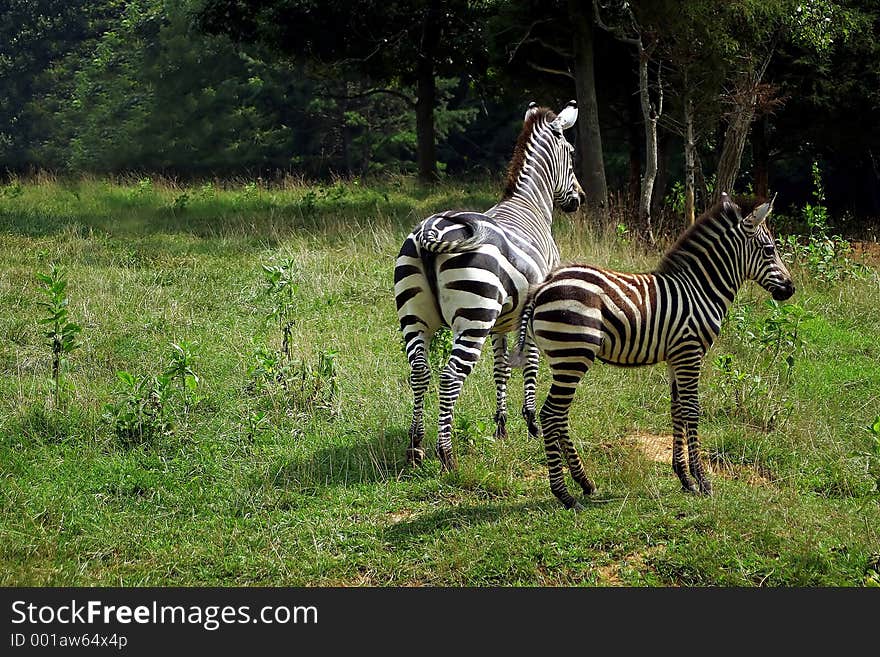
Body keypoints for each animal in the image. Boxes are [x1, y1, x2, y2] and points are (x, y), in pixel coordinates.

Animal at [392, 100, 584, 468]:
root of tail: (429, 233)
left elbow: (501, 368)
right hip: (473, 317)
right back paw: (446, 455)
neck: (530, 204)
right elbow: (531, 362)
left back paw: (415, 446)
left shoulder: (502, 321)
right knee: (450, 376)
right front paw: (531, 423)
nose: (579, 198)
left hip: (415, 316)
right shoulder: (532, 308)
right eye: (570, 152)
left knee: (420, 371)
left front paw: (502, 426)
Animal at [512, 192, 796, 510]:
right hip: (574, 355)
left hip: (563, 358)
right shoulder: (690, 352)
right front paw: (703, 481)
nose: (791, 289)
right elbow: (692, 410)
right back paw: (565, 494)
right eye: (770, 250)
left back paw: (584, 482)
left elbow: (677, 410)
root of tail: (544, 285)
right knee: (551, 414)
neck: (701, 289)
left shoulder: (676, 357)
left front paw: (684, 478)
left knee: (559, 416)